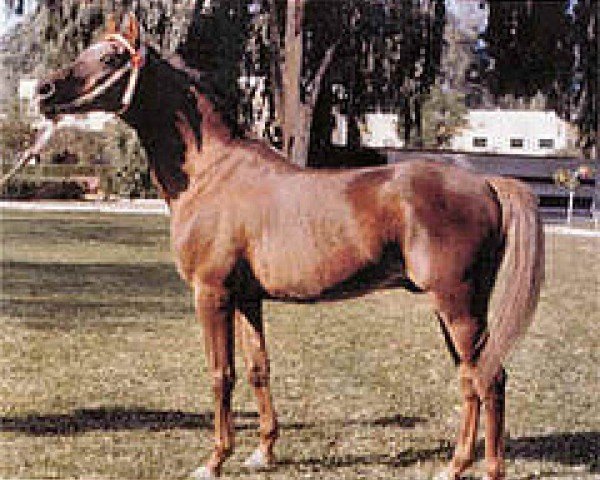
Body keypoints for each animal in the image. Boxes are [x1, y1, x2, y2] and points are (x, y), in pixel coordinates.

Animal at [37, 15, 544, 480]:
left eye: (110, 57)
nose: (44, 91)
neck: (211, 172)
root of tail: (487, 184)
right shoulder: (246, 298)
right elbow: (258, 369)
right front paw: (262, 453)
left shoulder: (211, 294)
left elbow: (221, 375)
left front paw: (214, 461)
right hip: (455, 308)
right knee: (471, 379)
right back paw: (458, 466)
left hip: (458, 305)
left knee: (489, 378)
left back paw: (484, 468)